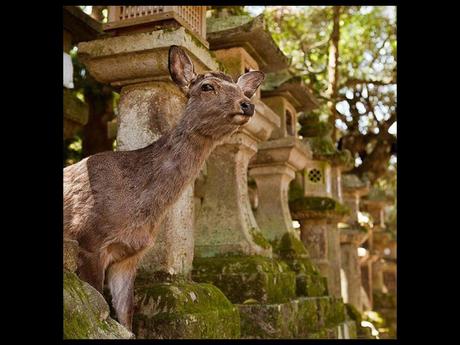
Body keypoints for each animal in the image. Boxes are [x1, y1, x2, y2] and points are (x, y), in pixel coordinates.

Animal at [65, 44, 266, 330]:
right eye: (207, 86)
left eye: (242, 90)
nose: (247, 104)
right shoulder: (88, 239)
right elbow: (101, 306)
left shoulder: (130, 255)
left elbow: (126, 316)